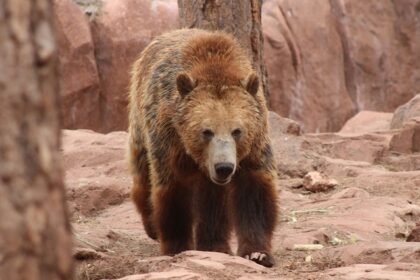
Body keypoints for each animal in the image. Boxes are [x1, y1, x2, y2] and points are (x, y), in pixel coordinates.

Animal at [128, 28, 278, 266]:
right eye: (206, 131)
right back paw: (151, 225)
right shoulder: (170, 138)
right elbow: (173, 192)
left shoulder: (256, 142)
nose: (224, 167)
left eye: (237, 131)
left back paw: (214, 244)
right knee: (143, 172)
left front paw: (257, 253)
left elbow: (253, 194)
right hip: (140, 119)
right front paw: (177, 246)